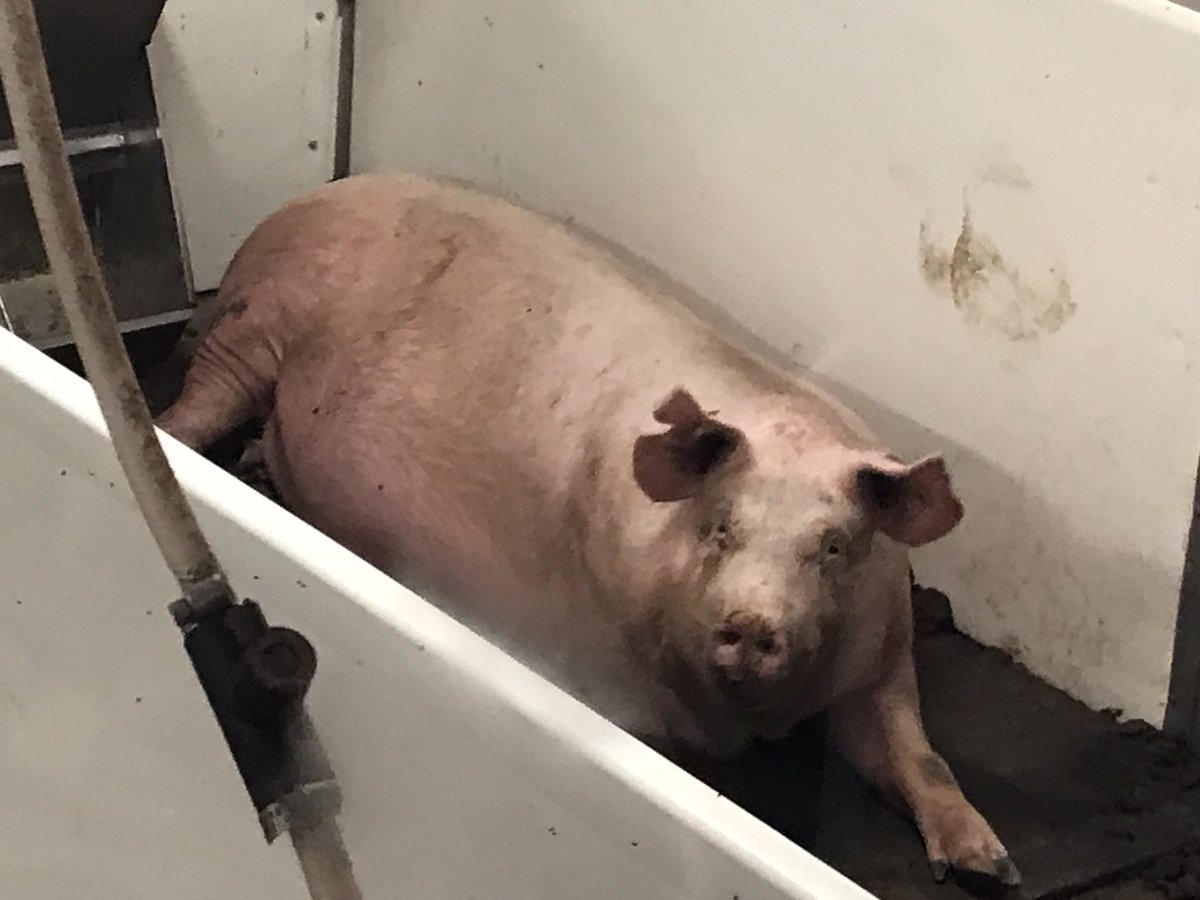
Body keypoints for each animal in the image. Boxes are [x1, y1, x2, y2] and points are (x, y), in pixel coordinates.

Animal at [157, 172, 1019, 890]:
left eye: (832, 547)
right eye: (719, 528)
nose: (751, 623)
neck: (751, 719)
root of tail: (311, 196)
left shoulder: (884, 652)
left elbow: (918, 752)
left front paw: (989, 867)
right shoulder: (612, 672)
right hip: (259, 323)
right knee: (195, 405)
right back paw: (179, 440)